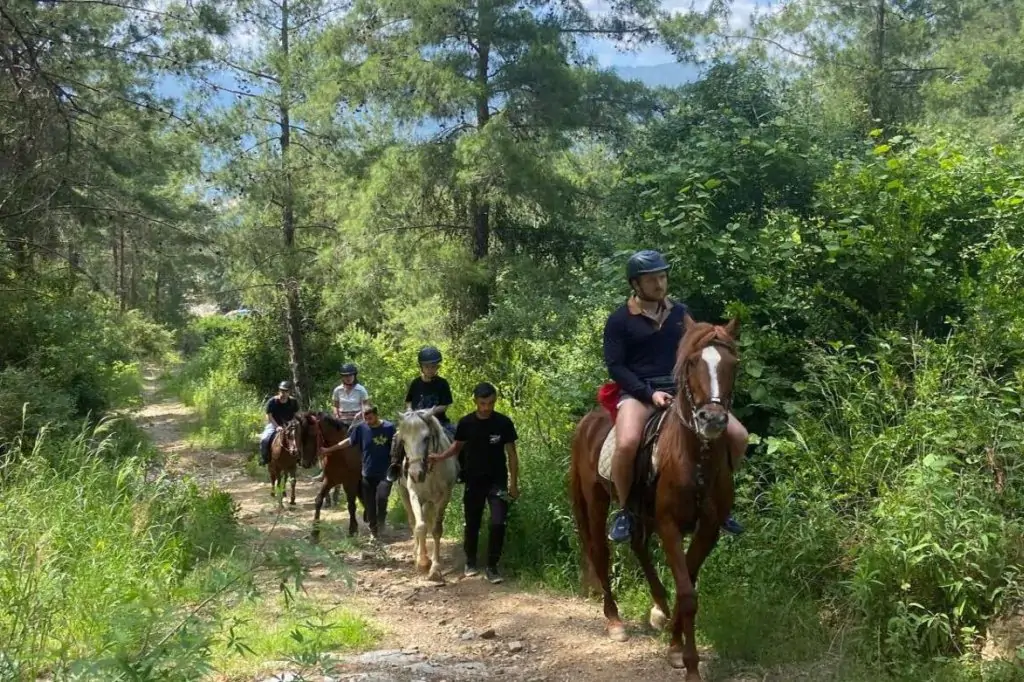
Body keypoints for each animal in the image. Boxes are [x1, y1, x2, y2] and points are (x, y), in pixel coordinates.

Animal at [290, 409, 366, 540]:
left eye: (313, 435)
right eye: (297, 435)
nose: (305, 463)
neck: (340, 452)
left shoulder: (350, 481)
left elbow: (351, 504)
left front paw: (352, 529)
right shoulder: (330, 480)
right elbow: (318, 500)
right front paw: (314, 534)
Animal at [393, 409, 458, 577]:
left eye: (426, 438)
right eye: (403, 441)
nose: (415, 474)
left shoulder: (444, 497)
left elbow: (436, 529)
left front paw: (435, 567)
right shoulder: (414, 495)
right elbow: (420, 526)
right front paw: (422, 562)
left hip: (429, 501)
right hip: (403, 493)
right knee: (413, 521)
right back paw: (416, 553)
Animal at [573, 315, 741, 679]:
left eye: (733, 364)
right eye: (692, 362)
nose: (712, 419)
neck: (696, 459)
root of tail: (588, 421)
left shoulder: (708, 529)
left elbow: (687, 584)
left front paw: (675, 647)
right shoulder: (669, 525)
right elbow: (688, 594)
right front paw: (690, 665)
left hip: (642, 513)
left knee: (638, 546)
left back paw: (658, 608)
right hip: (596, 501)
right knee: (600, 552)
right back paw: (615, 622)